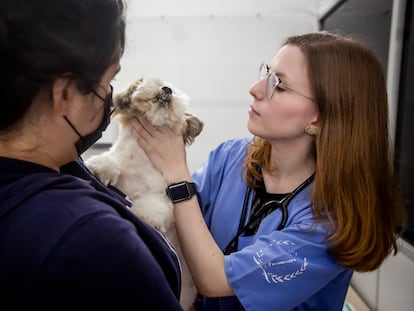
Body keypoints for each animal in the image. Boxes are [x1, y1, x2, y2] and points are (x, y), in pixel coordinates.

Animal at [86, 77, 203, 310]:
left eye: (175, 91)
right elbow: (114, 161)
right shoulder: (123, 165)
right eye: (158, 81)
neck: (142, 159)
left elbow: (154, 204)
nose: (166, 89)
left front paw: (144, 215)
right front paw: (100, 167)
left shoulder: (164, 196)